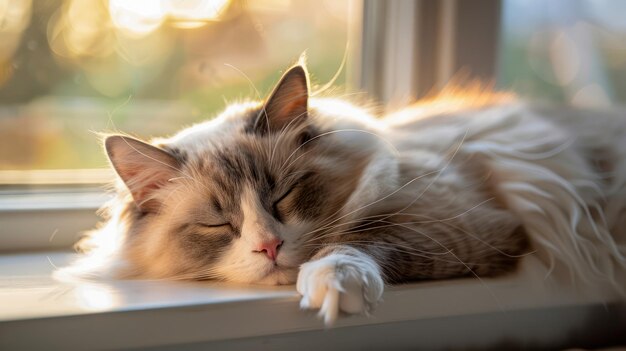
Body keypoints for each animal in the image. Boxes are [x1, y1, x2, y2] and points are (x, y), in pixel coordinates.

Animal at [56, 62, 620, 326]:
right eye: (219, 223)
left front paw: (332, 284)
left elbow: (358, 240)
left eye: (283, 195)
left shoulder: (464, 221)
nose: (269, 246)